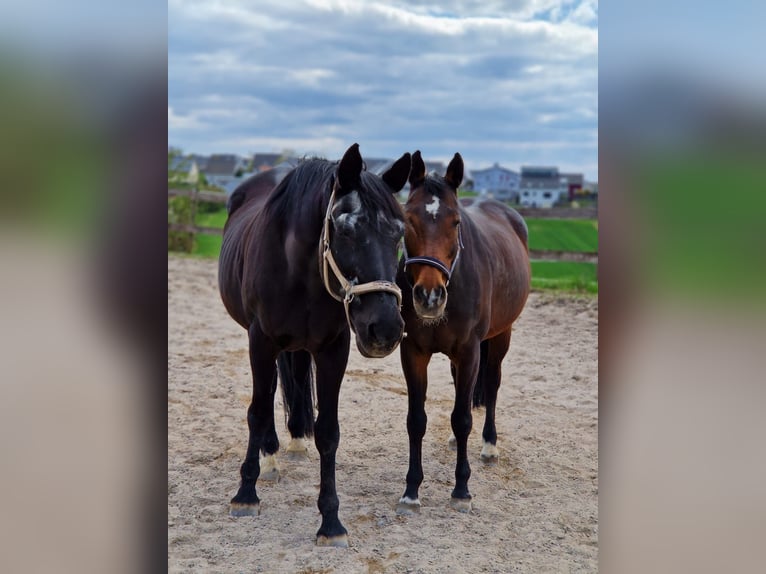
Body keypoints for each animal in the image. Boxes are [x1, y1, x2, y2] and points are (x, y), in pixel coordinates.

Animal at [219, 145, 414, 548]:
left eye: (399, 233)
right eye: (346, 229)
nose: (385, 328)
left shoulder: (333, 350)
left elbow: (328, 432)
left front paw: (331, 520)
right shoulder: (260, 341)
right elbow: (256, 412)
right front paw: (245, 494)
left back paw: (293, 440)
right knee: (269, 395)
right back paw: (270, 457)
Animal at [392, 151, 532, 516]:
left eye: (455, 222)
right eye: (408, 219)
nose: (429, 296)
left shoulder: (470, 351)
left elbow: (463, 418)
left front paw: (461, 489)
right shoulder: (413, 353)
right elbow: (417, 419)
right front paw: (411, 490)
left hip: (500, 337)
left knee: (492, 386)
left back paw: (489, 445)